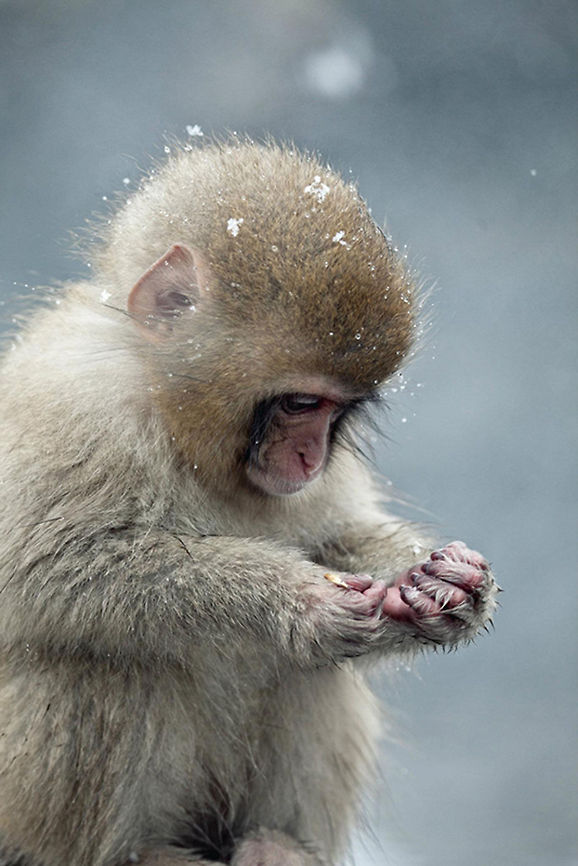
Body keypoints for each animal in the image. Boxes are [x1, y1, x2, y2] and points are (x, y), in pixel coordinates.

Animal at [0, 139, 498, 866]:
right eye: (300, 402)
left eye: (338, 411)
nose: (311, 458)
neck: (176, 421)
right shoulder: (74, 403)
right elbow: (46, 572)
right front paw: (294, 603)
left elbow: (336, 539)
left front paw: (441, 583)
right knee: (102, 661)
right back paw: (139, 855)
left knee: (310, 675)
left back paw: (278, 846)